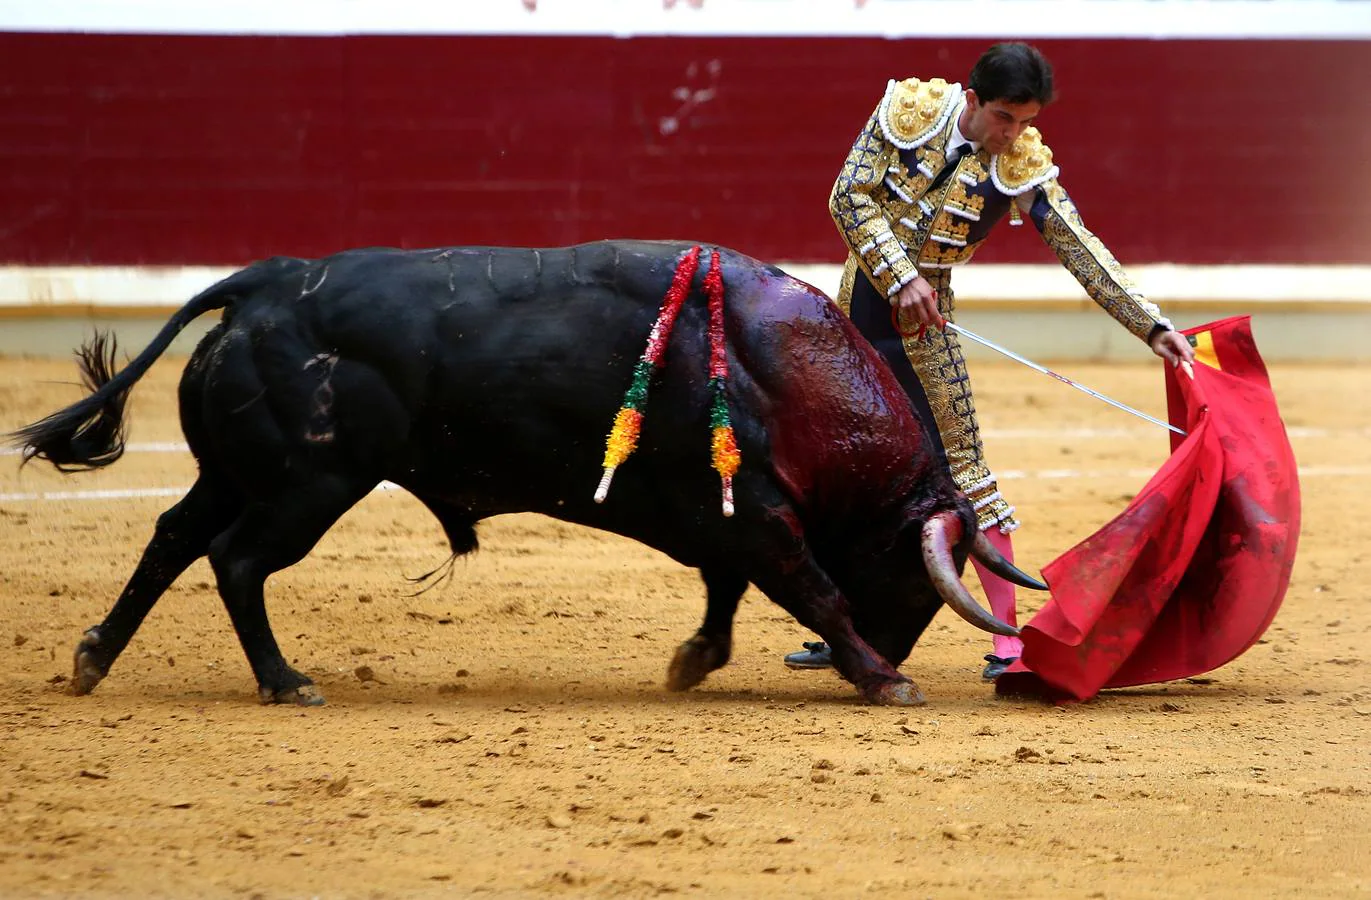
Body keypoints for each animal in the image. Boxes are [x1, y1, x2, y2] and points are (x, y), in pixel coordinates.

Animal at [10, 242, 1041, 707]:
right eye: (916, 576)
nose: (891, 651)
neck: (776, 366)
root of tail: (261, 284)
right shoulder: (753, 514)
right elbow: (807, 587)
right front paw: (881, 680)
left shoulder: (722, 517)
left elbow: (725, 591)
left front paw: (692, 662)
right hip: (309, 486)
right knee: (236, 561)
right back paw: (285, 681)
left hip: (237, 474)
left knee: (174, 538)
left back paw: (94, 658)